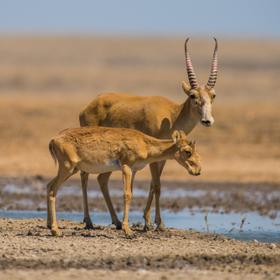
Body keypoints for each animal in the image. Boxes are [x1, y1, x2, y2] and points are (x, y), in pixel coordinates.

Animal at [48, 127, 200, 236]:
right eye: (187, 151)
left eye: (195, 150)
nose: (198, 170)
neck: (144, 143)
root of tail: (54, 140)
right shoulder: (126, 167)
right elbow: (127, 195)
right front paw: (128, 231)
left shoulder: (133, 170)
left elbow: (131, 193)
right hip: (67, 168)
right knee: (52, 189)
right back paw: (56, 230)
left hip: (71, 169)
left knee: (49, 186)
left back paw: (51, 225)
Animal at [79, 37, 219, 230]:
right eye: (192, 95)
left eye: (213, 95)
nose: (207, 120)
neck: (172, 115)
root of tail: (87, 108)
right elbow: (157, 185)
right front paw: (155, 224)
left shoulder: (162, 158)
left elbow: (154, 184)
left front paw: (150, 222)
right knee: (85, 175)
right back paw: (89, 221)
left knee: (102, 179)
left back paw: (116, 221)